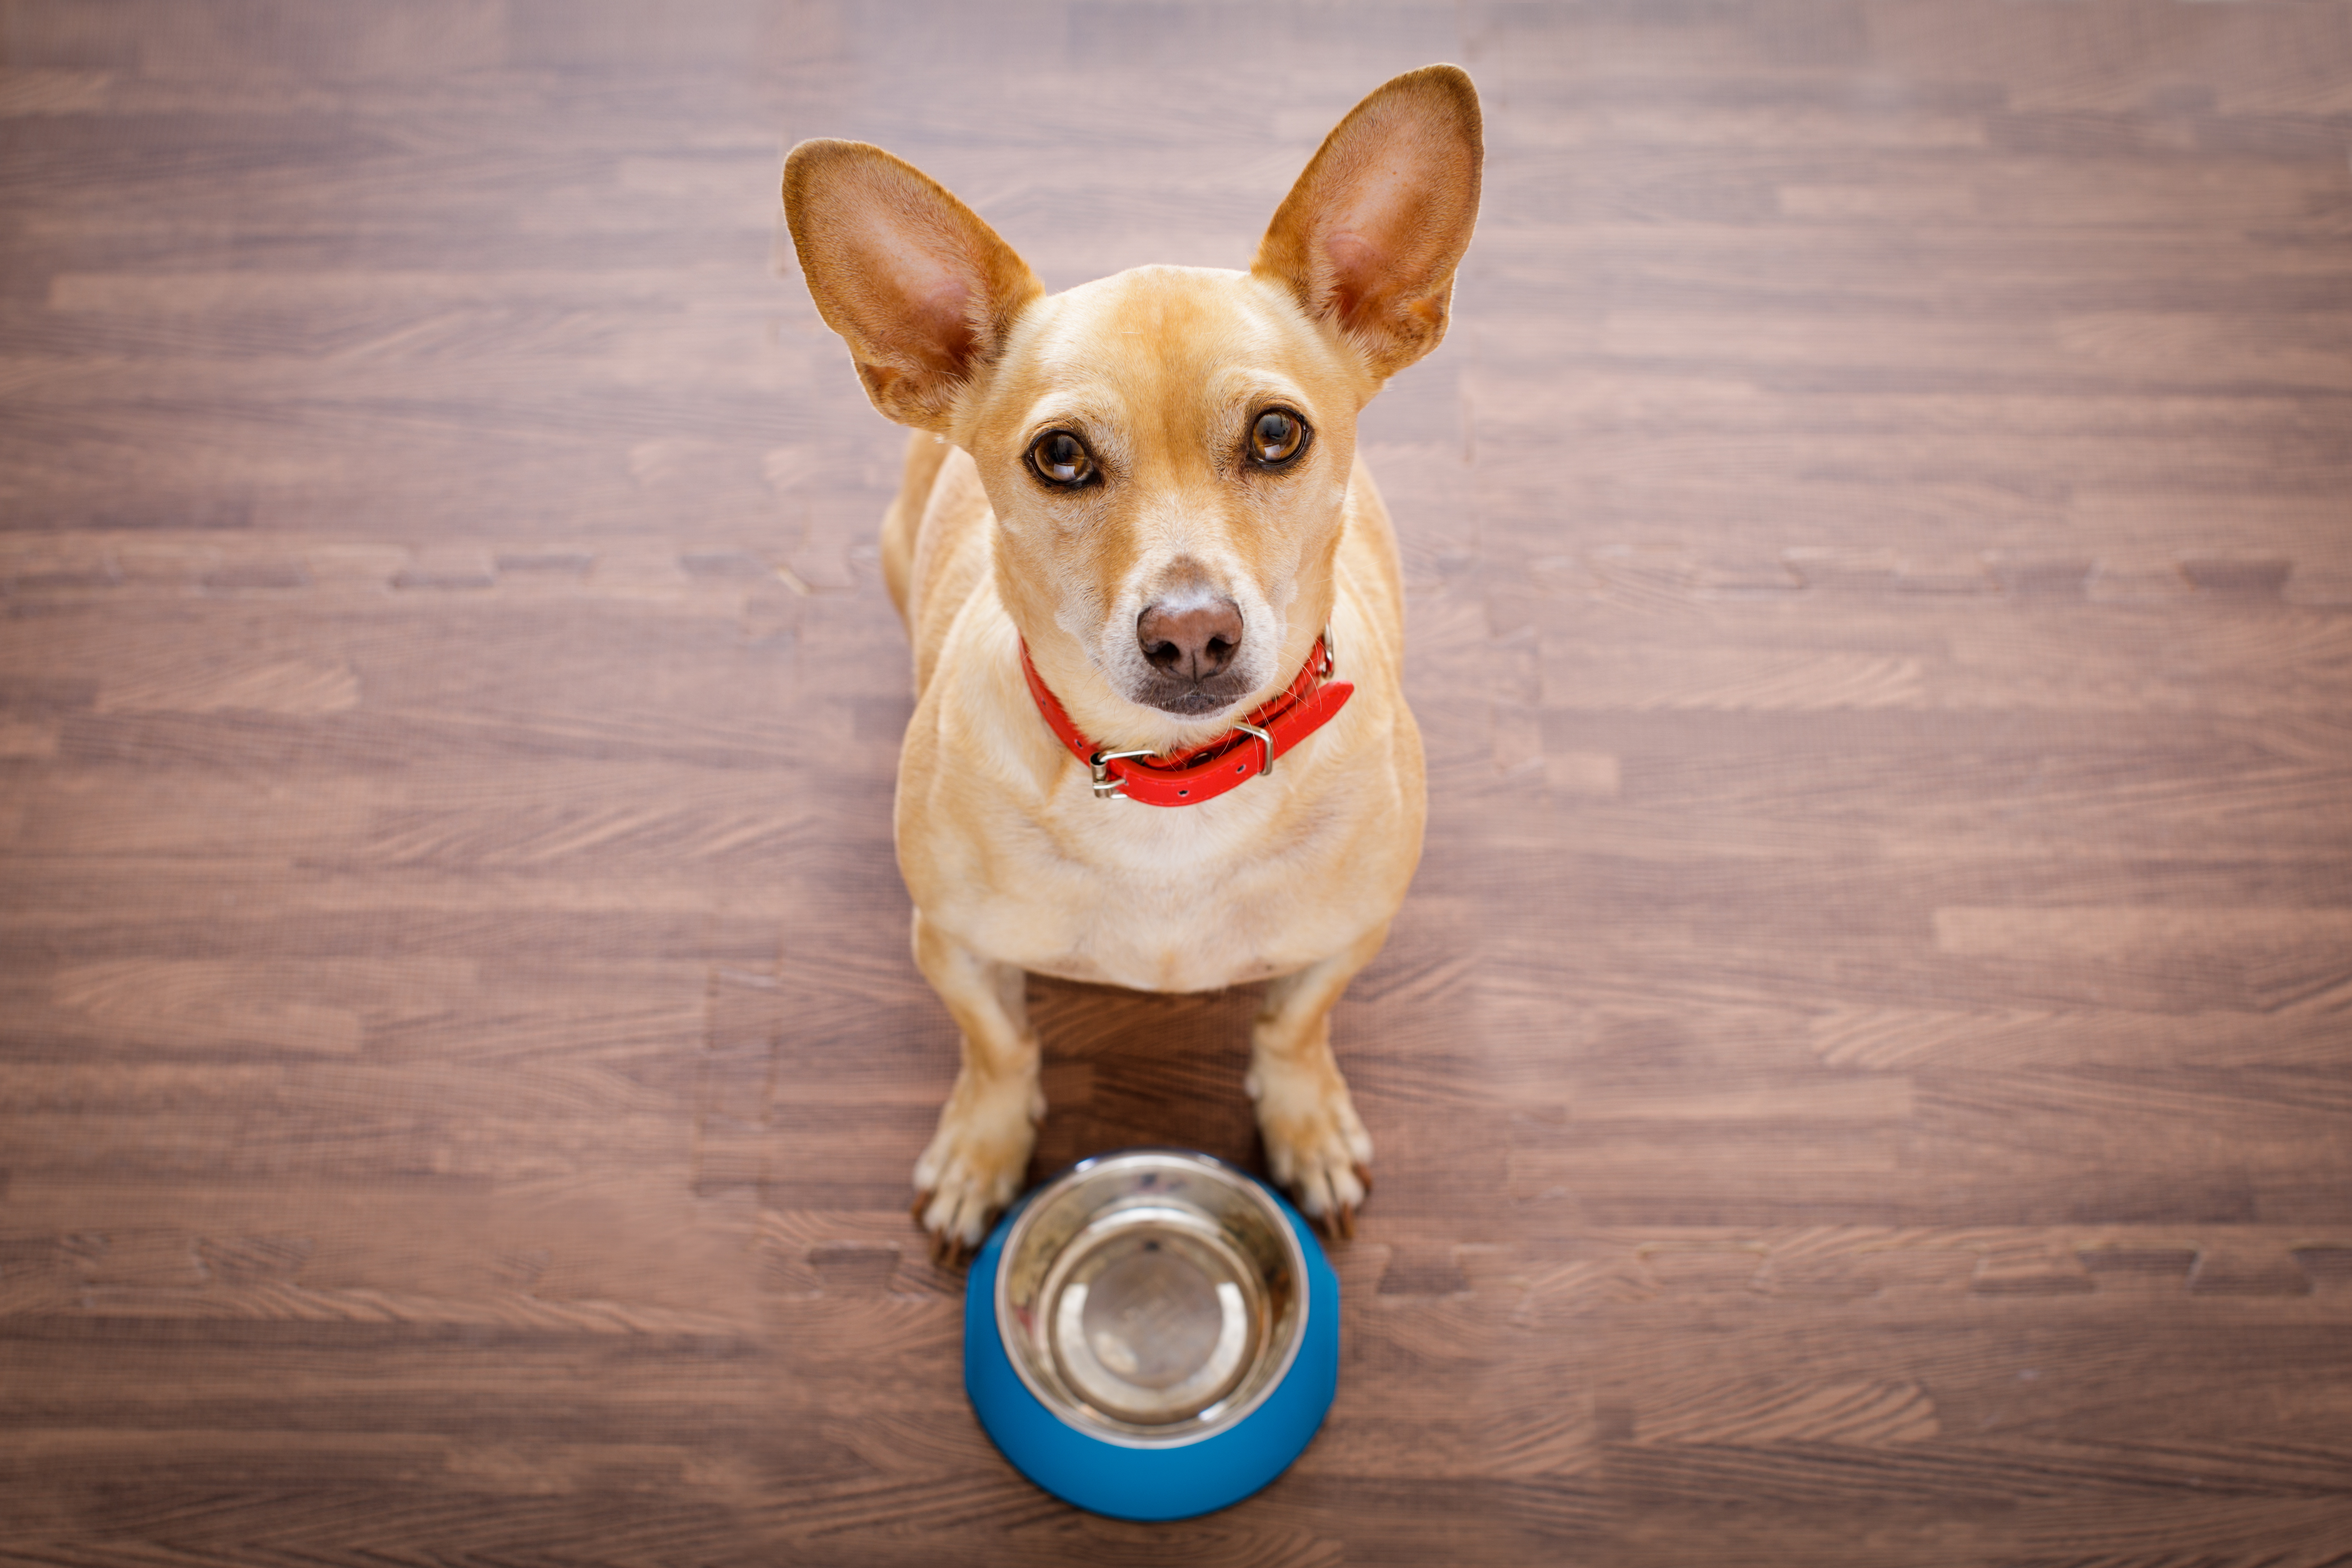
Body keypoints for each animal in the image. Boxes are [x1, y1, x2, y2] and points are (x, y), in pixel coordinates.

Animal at [785, 67, 1486, 1260]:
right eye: (1060, 457)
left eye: (1277, 436)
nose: (1191, 631)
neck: (1173, 781)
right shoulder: (954, 949)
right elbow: (998, 1048)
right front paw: (982, 1149)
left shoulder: (1347, 938)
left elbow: (1293, 1028)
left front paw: (1304, 1121)